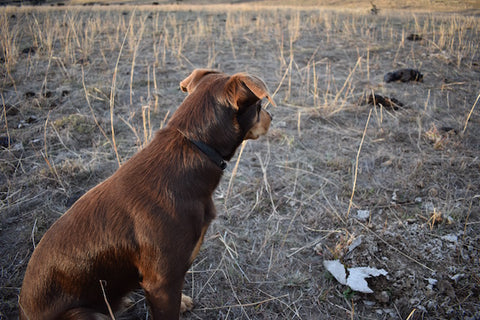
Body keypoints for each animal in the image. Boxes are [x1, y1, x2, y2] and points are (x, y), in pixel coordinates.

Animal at [19, 69, 274, 318]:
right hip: (82, 313)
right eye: (259, 107)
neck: (195, 145)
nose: (271, 117)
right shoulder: (162, 282)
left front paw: (182, 301)